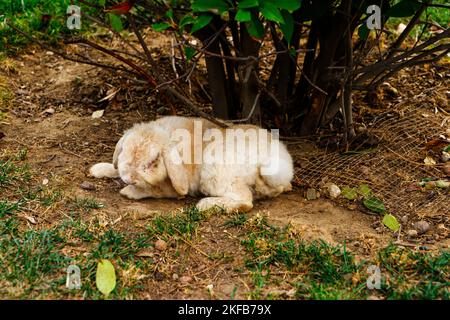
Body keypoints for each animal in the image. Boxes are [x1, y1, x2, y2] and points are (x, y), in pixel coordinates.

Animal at [89, 117, 294, 212]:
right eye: (125, 151)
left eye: (153, 162)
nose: (129, 178)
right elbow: (114, 168)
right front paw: (97, 169)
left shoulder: (171, 188)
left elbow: (153, 189)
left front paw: (129, 191)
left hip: (215, 172)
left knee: (245, 201)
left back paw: (205, 204)